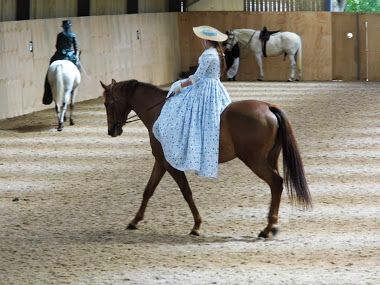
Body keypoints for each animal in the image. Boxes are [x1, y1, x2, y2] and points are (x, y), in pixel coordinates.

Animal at [100, 79, 312, 236]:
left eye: (108, 103)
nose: (112, 131)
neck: (160, 113)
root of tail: (268, 107)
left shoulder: (170, 164)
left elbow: (186, 192)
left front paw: (196, 226)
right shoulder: (160, 161)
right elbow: (148, 190)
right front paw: (134, 221)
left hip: (254, 160)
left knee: (276, 183)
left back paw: (267, 229)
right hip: (270, 158)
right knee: (276, 186)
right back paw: (272, 226)